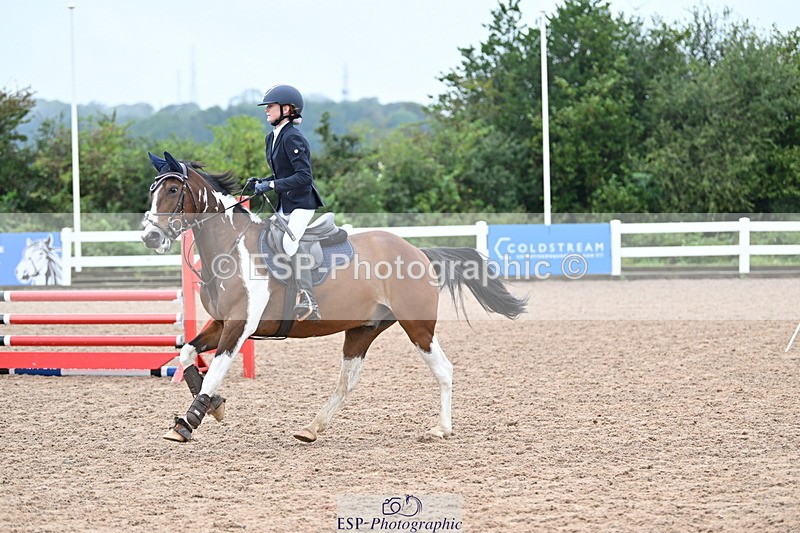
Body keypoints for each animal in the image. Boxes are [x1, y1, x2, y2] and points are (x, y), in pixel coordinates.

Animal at [141, 151, 527, 443]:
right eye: (153, 191)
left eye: (173, 189)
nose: (150, 237)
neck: (230, 247)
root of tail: (418, 251)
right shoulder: (221, 322)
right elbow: (188, 355)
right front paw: (213, 404)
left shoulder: (239, 326)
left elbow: (215, 370)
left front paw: (187, 423)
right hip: (363, 329)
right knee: (347, 382)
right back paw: (312, 428)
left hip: (417, 326)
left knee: (444, 369)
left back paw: (441, 429)